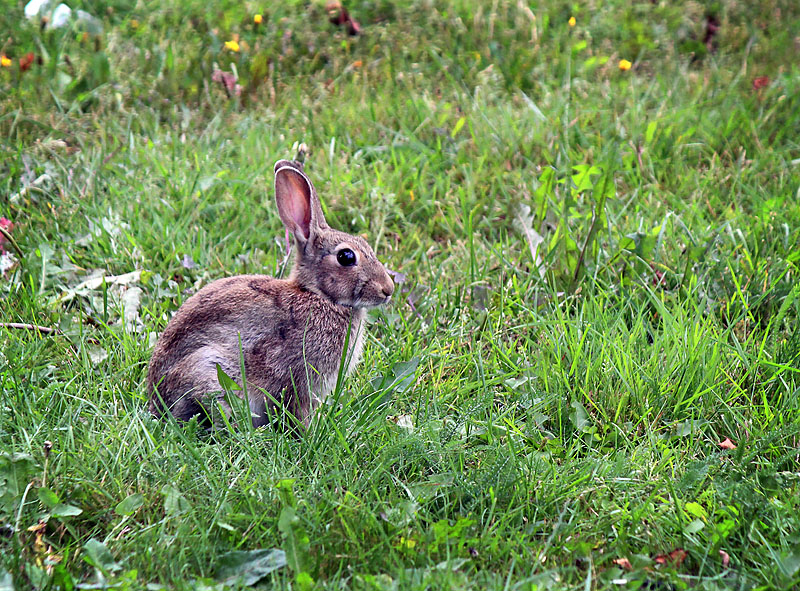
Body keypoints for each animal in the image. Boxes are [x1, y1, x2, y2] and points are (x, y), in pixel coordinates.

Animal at [145, 161, 396, 430]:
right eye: (346, 257)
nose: (388, 289)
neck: (319, 296)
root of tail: (156, 399)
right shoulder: (297, 378)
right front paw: (308, 432)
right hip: (208, 372)